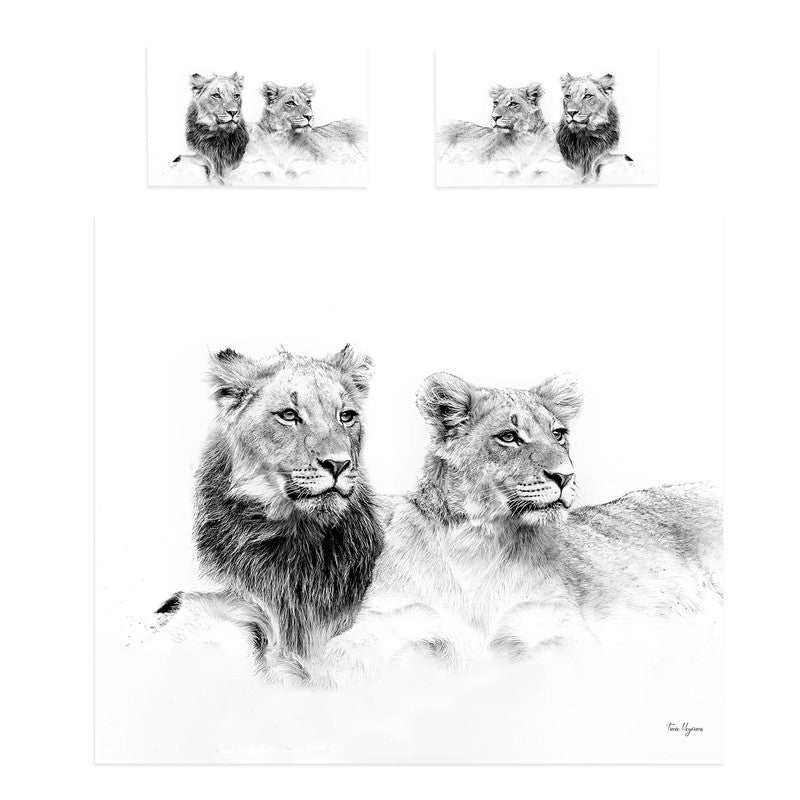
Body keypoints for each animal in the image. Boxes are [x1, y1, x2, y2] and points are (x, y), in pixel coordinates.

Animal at [233, 82, 366, 182]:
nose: (310, 116)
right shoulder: (250, 165)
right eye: (290, 103)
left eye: (308, 102)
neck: (280, 139)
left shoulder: (307, 168)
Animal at [307, 372, 722, 686]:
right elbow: (335, 661)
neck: (477, 541)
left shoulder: (555, 626)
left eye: (559, 434)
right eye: (508, 437)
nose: (565, 476)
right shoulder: (391, 620)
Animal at [437, 83, 574, 182]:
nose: (494, 117)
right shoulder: (497, 168)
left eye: (513, 104)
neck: (524, 140)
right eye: (495, 103)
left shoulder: (556, 166)